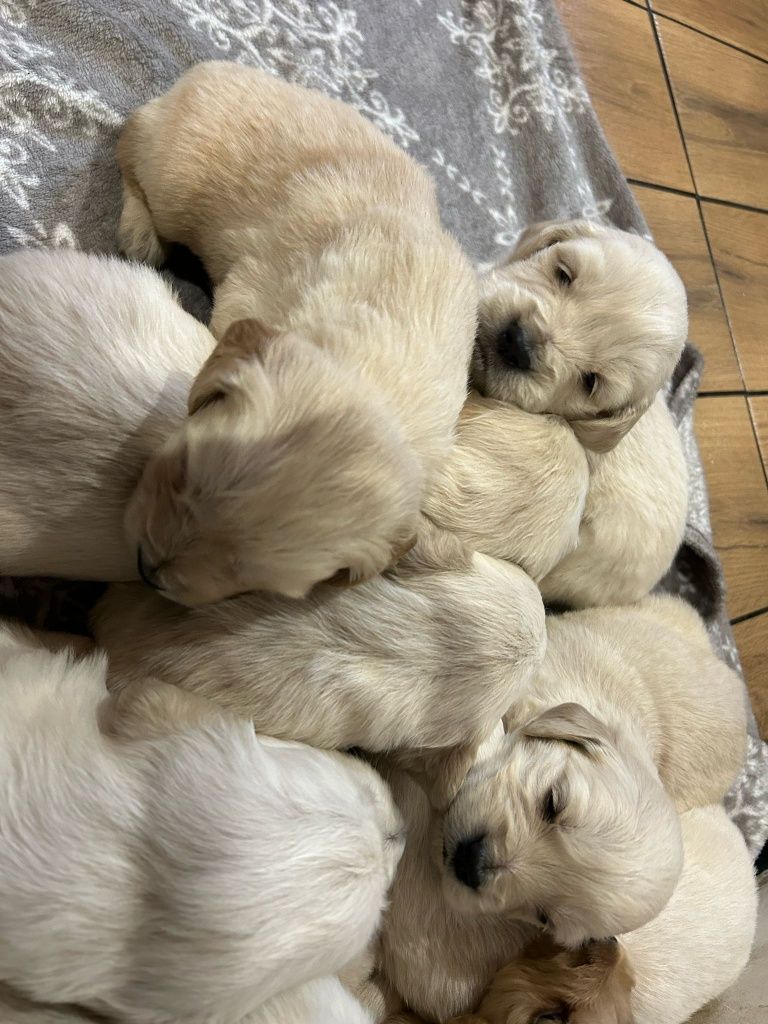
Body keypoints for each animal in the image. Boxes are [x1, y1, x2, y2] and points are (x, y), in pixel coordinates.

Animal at [117, 59, 479, 598]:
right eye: (182, 469)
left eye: (247, 578)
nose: (145, 569)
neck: (373, 366)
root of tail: (205, 71)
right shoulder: (249, 293)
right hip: (174, 175)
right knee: (130, 144)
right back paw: (138, 229)